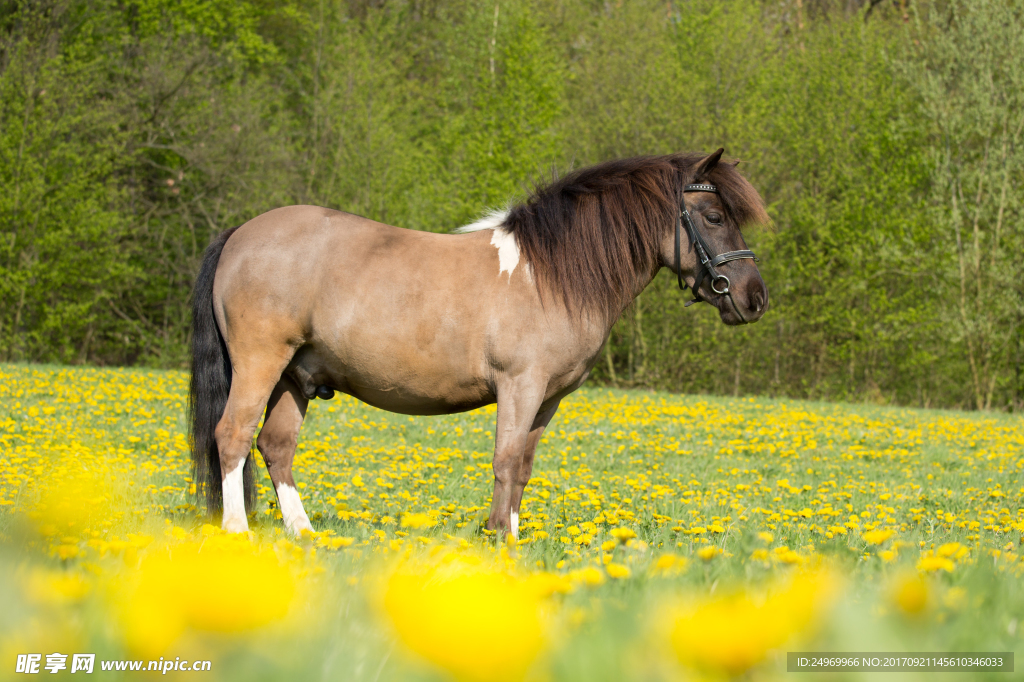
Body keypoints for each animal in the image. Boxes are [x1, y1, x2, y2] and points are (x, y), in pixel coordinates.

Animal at [190, 148, 770, 536]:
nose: (754, 298)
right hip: (262, 363)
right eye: (714, 217)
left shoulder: (548, 398)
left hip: (297, 375)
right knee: (232, 436)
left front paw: (506, 536)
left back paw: (304, 535)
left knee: (275, 446)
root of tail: (240, 233)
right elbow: (506, 460)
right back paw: (239, 533)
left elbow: (524, 467)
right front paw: (499, 540)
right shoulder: (520, 386)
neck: (546, 274)